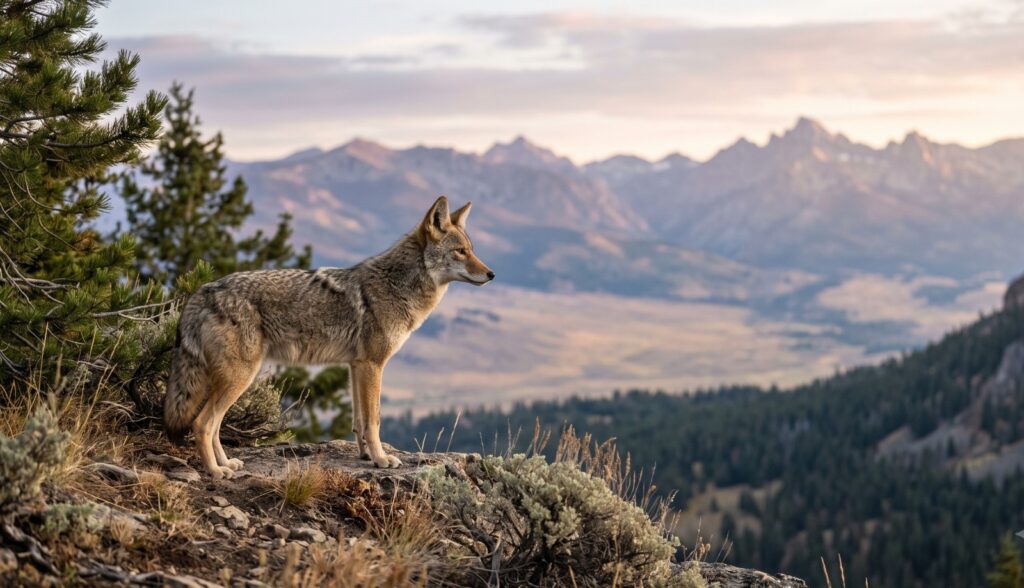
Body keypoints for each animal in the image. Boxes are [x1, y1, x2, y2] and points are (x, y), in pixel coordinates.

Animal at [163, 196, 494, 478]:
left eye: (472, 249)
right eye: (460, 252)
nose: (491, 274)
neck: (397, 285)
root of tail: (202, 292)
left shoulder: (357, 366)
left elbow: (360, 422)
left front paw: (366, 456)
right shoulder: (373, 365)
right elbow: (374, 420)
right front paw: (382, 459)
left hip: (236, 379)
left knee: (215, 425)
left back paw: (226, 463)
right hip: (239, 377)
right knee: (202, 424)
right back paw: (215, 472)